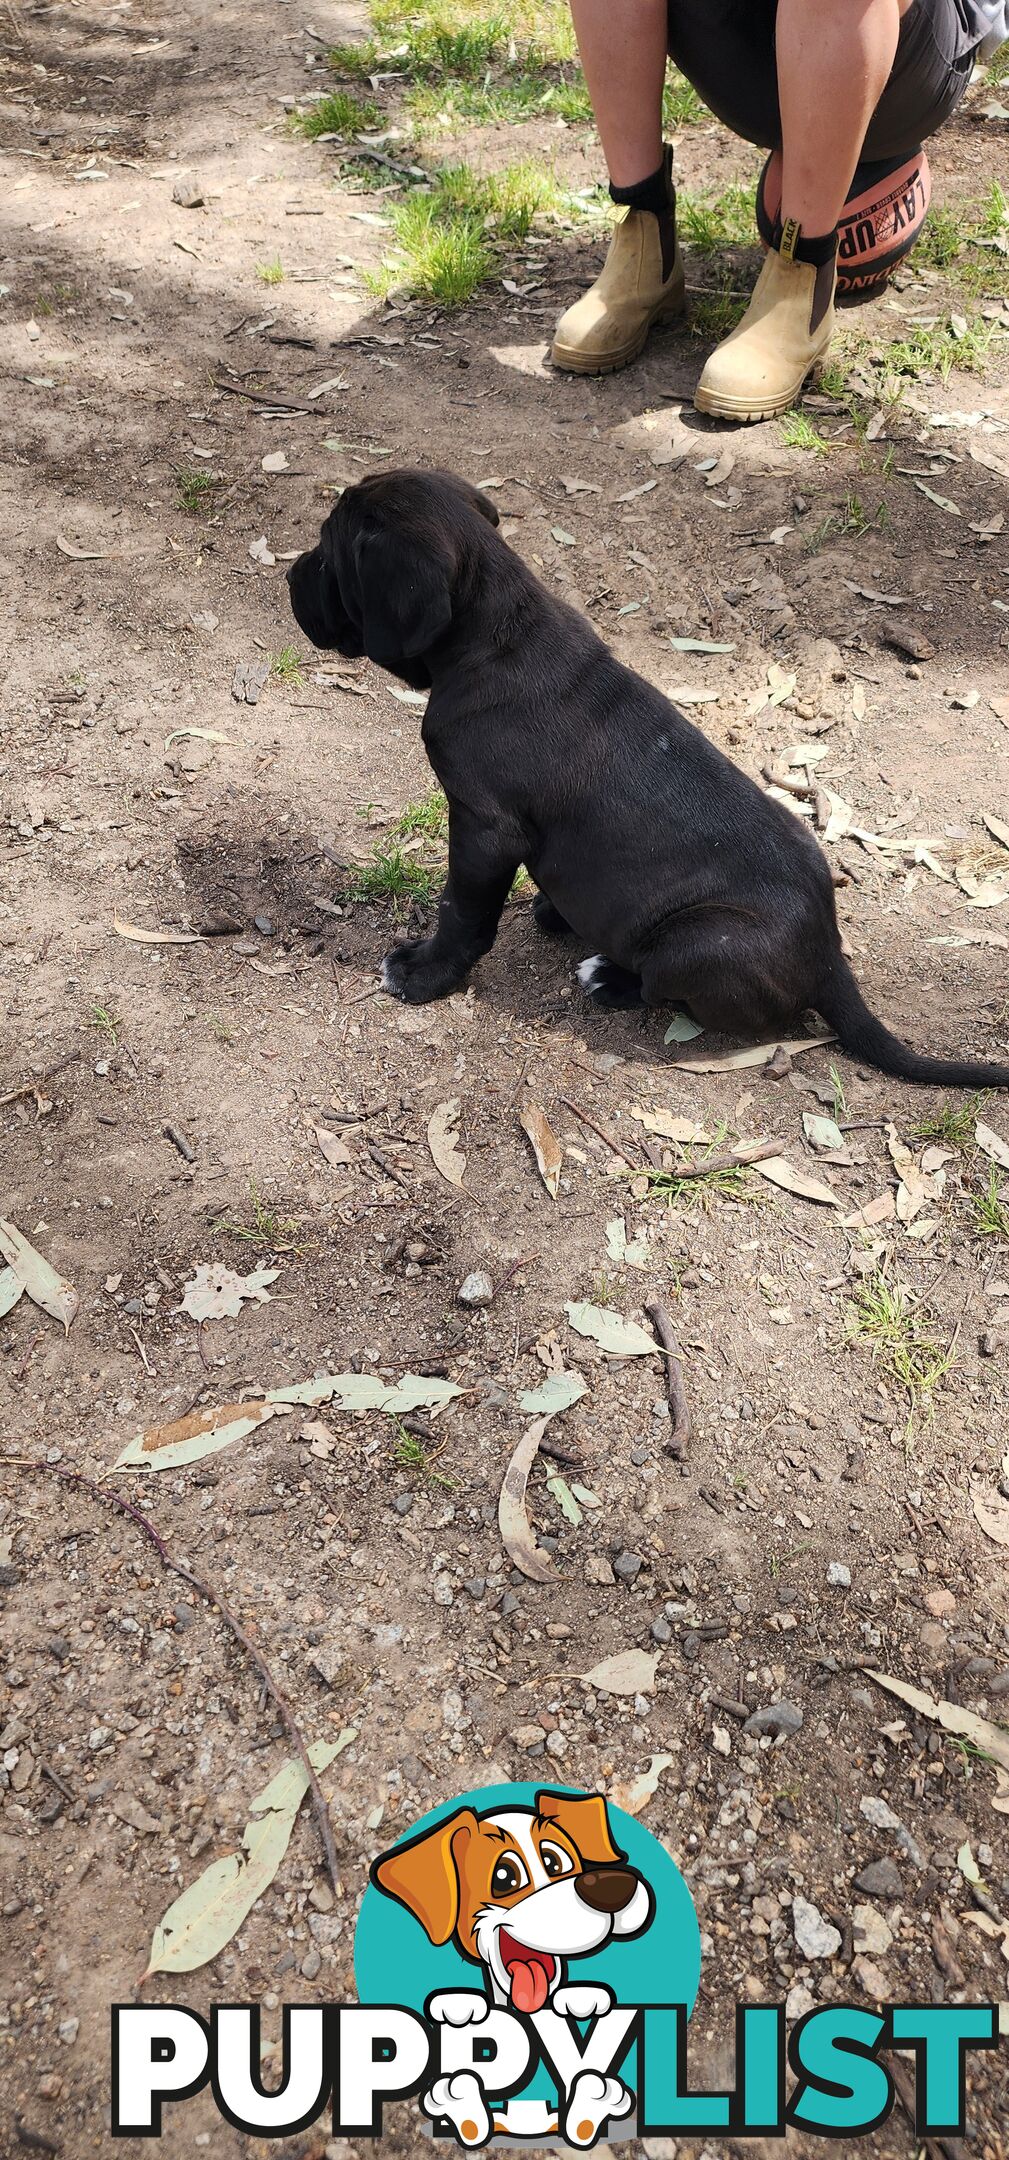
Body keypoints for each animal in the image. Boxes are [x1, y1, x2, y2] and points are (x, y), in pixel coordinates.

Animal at [287, 468, 1009, 1080]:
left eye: (328, 553)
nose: (290, 575)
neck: (496, 632)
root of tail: (829, 957)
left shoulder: (483, 827)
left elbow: (461, 911)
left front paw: (425, 973)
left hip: (697, 941)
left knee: (665, 991)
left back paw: (608, 976)